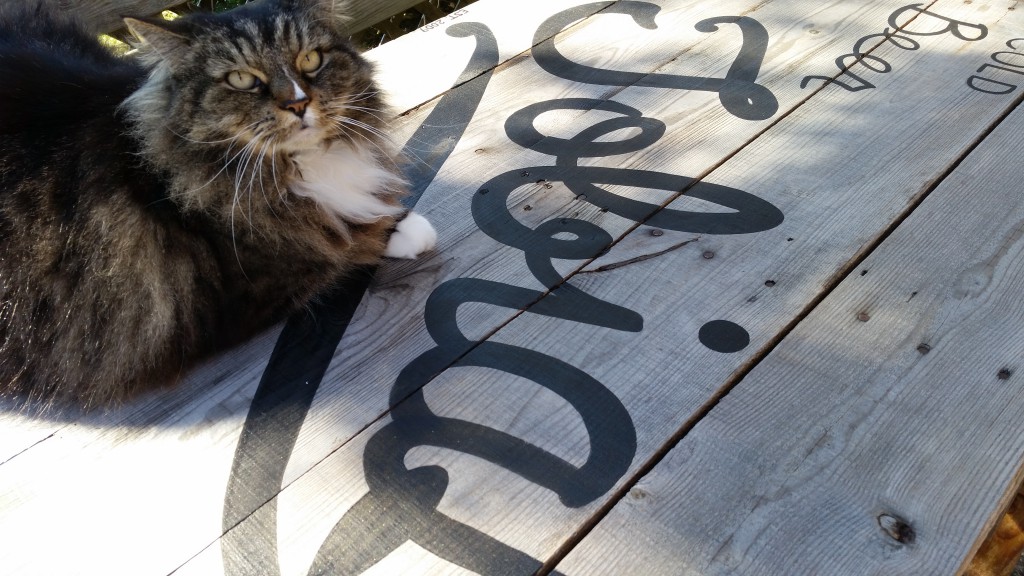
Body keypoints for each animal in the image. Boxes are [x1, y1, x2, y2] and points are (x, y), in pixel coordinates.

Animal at [0, 0, 436, 405]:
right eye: (241, 79)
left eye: (310, 59)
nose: (298, 104)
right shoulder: (250, 291)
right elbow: (344, 248)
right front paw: (403, 231)